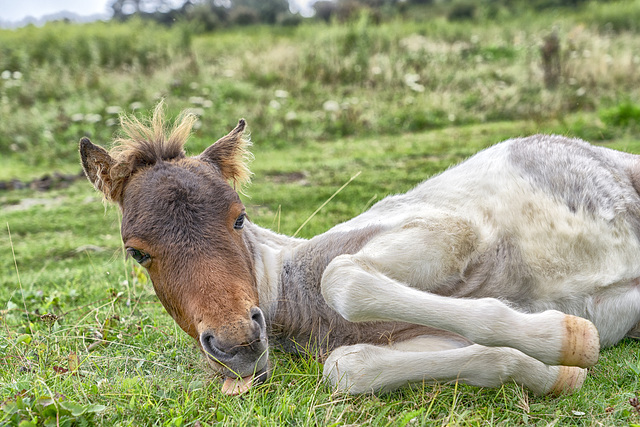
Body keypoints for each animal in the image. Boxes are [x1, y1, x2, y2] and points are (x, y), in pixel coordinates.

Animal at [80, 105, 640, 396]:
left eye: (238, 217)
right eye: (137, 252)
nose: (237, 341)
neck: (295, 293)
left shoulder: (452, 230)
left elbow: (345, 279)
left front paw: (565, 337)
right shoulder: (420, 339)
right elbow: (350, 368)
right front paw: (557, 370)